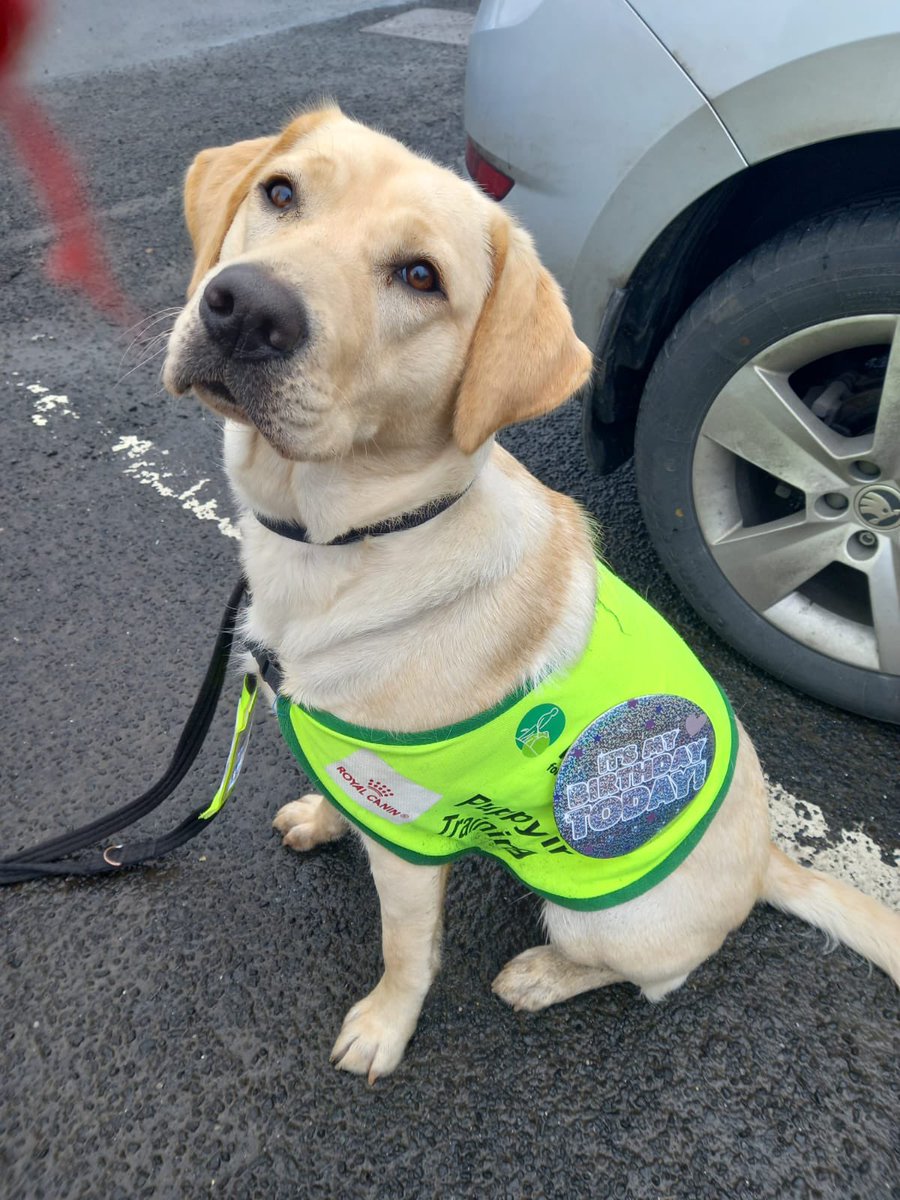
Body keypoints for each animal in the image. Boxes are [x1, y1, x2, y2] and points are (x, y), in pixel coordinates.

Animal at [164, 108, 900, 1084]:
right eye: (280, 192)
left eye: (420, 277)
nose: (245, 307)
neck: (356, 538)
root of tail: (768, 862)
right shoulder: (359, 771)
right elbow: (334, 797)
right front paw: (319, 819)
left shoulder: (413, 831)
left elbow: (407, 950)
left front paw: (385, 1028)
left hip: (609, 912)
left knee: (660, 973)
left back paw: (544, 975)